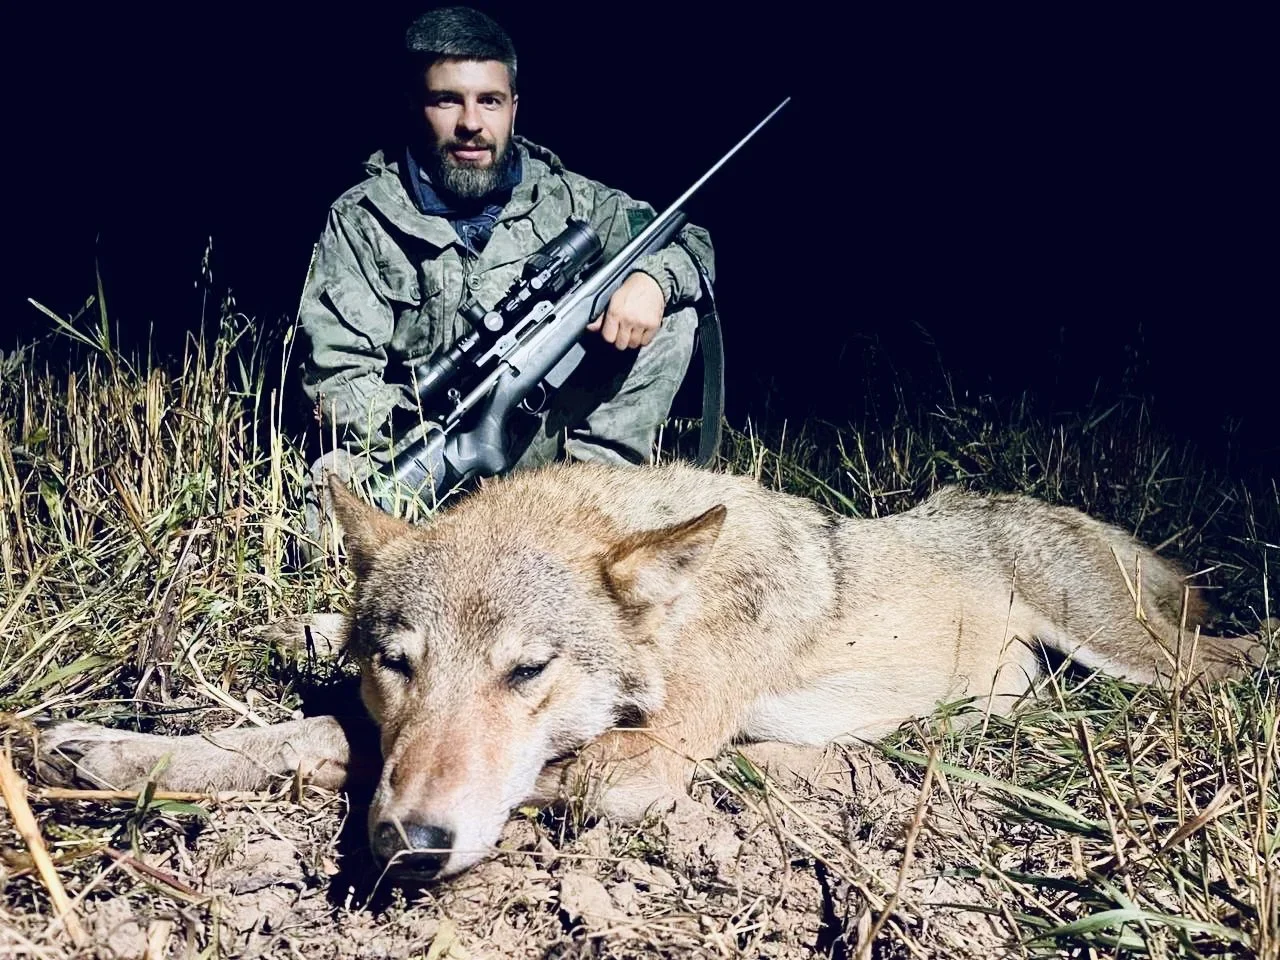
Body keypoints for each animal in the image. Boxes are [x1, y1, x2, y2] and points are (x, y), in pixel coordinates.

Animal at [38, 463, 1263, 880]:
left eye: (528, 670)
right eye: (397, 664)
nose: (412, 844)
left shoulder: (632, 766)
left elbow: (554, 775)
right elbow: (317, 740)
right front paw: (119, 755)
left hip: (1147, 663)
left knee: (1245, 660)